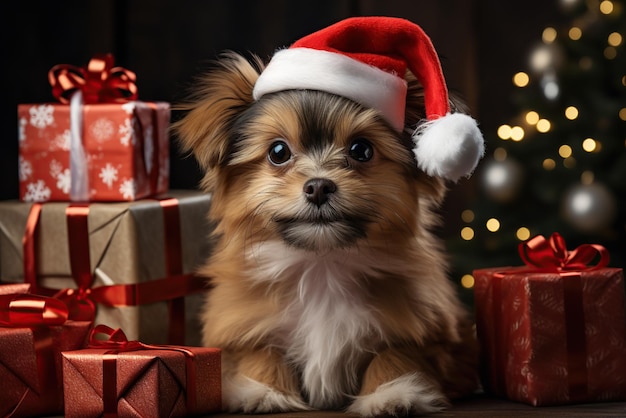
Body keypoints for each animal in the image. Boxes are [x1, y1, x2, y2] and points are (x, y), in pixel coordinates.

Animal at [173, 15, 480, 414]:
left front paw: (393, 393)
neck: (323, 263)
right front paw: (262, 391)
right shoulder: (240, 323)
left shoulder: (424, 329)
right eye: (278, 152)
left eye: (361, 150)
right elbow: (260, 351)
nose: (318, 186)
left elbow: (395, 355)